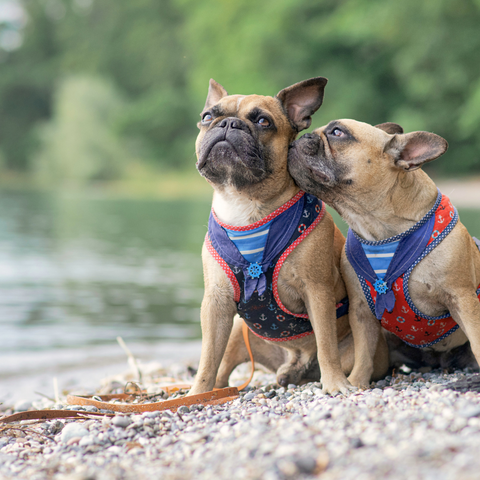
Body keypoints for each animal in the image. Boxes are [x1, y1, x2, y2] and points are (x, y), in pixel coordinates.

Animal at [188, 79, 390, 394]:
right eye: (208, 116)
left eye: (263, 121)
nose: (229, 123)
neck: (245, 202)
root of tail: (295, 358)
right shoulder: (216, 304)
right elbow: (208, 357)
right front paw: (197, 393)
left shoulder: (317, 292)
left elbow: (326, 344)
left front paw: (334, 384)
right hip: (237, 332)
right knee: (223, 367)